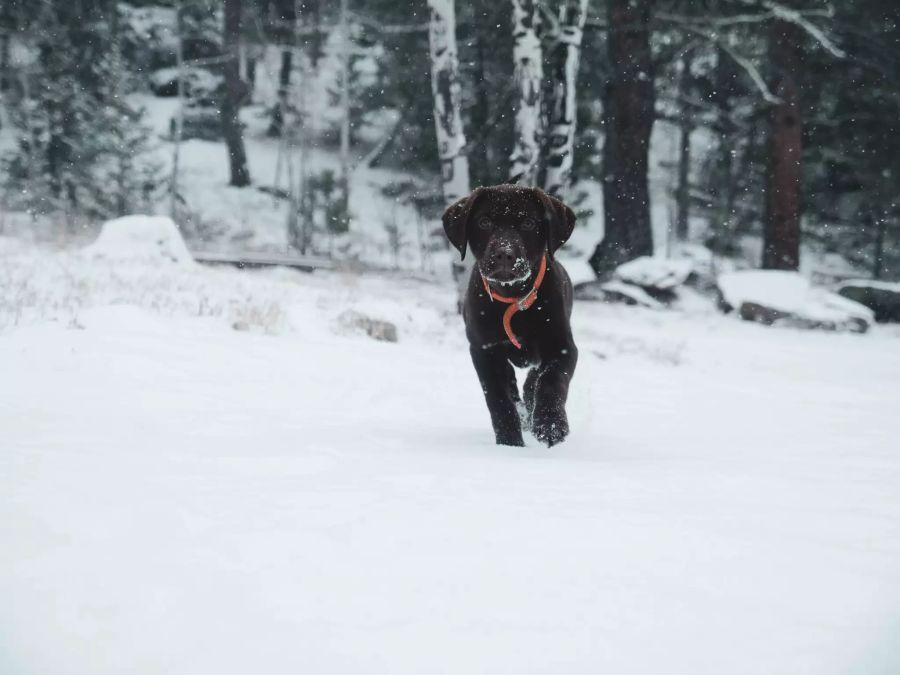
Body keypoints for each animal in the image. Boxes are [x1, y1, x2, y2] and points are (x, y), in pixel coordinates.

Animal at [442, 185, 576, 448]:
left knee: (534, 378)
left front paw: (550, 425)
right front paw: (509, 442)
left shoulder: (562, 347)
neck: (514, 297)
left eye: (528, 223)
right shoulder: (484, 351)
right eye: (484, 222)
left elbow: (552, 381)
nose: (504, 254)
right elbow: (498, 399)